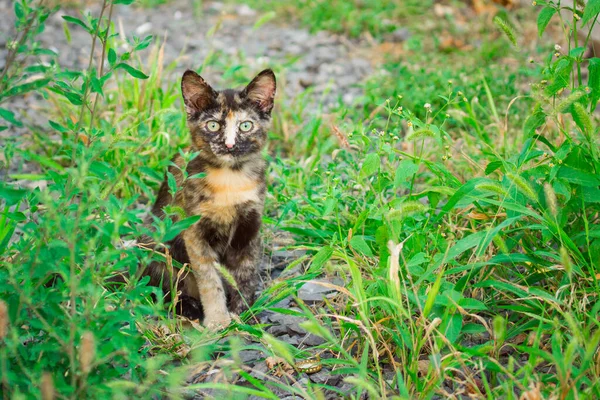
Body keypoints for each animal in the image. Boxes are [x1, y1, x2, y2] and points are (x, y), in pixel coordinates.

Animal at [145, 69, 276, 328]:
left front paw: (242, 313)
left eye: (246, 125)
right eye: (213, 125)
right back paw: (189, 308)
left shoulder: (250, 228)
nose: (229, 144)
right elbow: (209, 279)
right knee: (165, 289)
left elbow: (246, 275)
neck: (231, 179)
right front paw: (218, 320)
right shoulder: (195, 233)